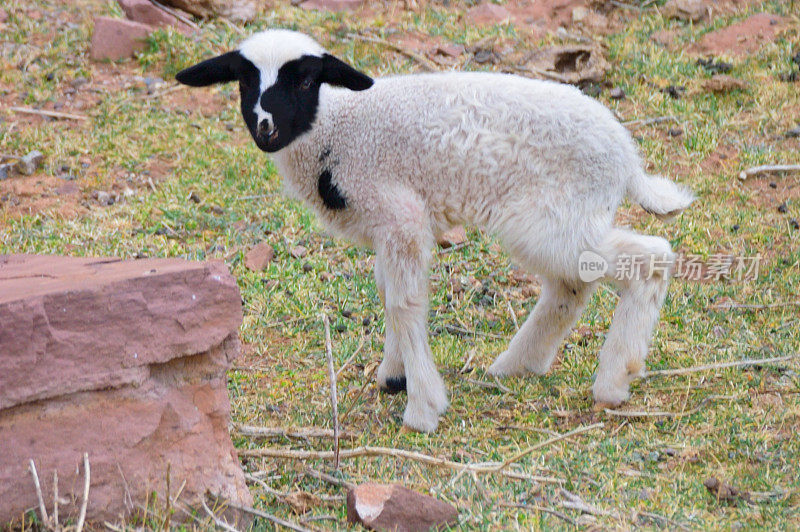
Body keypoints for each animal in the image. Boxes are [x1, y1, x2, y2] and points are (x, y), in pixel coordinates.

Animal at [177, 29, 692, 432]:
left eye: (304, 79)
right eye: (244, 80)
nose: (265, 128)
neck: (335, 129)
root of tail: (628, 158)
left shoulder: (401, 214)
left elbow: (405, 304)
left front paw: (421, 405)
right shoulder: (385, 229)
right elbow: (387, 291)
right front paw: (393, 375)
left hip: (551, 220)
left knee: (649, 259)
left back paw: (614, 380)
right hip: (564, 219)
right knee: (572, 286)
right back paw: (518, 365)